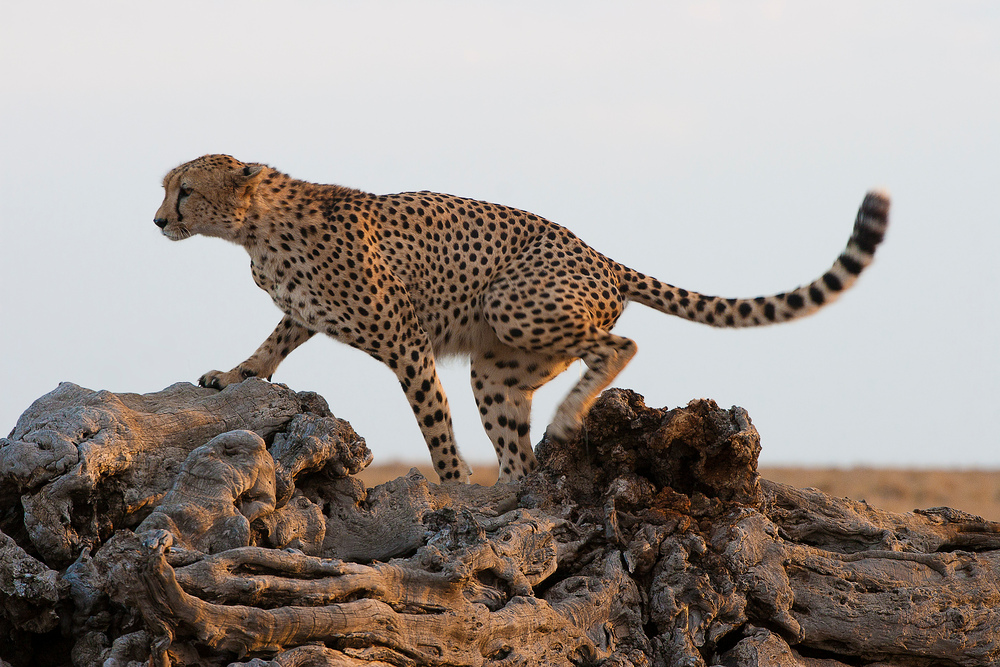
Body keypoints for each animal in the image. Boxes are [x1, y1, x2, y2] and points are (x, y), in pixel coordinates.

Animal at [152, 154, 888, 482]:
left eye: (184, 190)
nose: (158, 219)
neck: (255, 228)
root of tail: (603, 256)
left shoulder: (407, 341)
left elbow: (433, 422)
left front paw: (451, 490)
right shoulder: (306, 312)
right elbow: (274, 340)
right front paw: (232, 374)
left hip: (515, 306)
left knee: (620, 341)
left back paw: (564, 420)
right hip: (500, 371)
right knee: (517, 445)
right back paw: (516, 489)